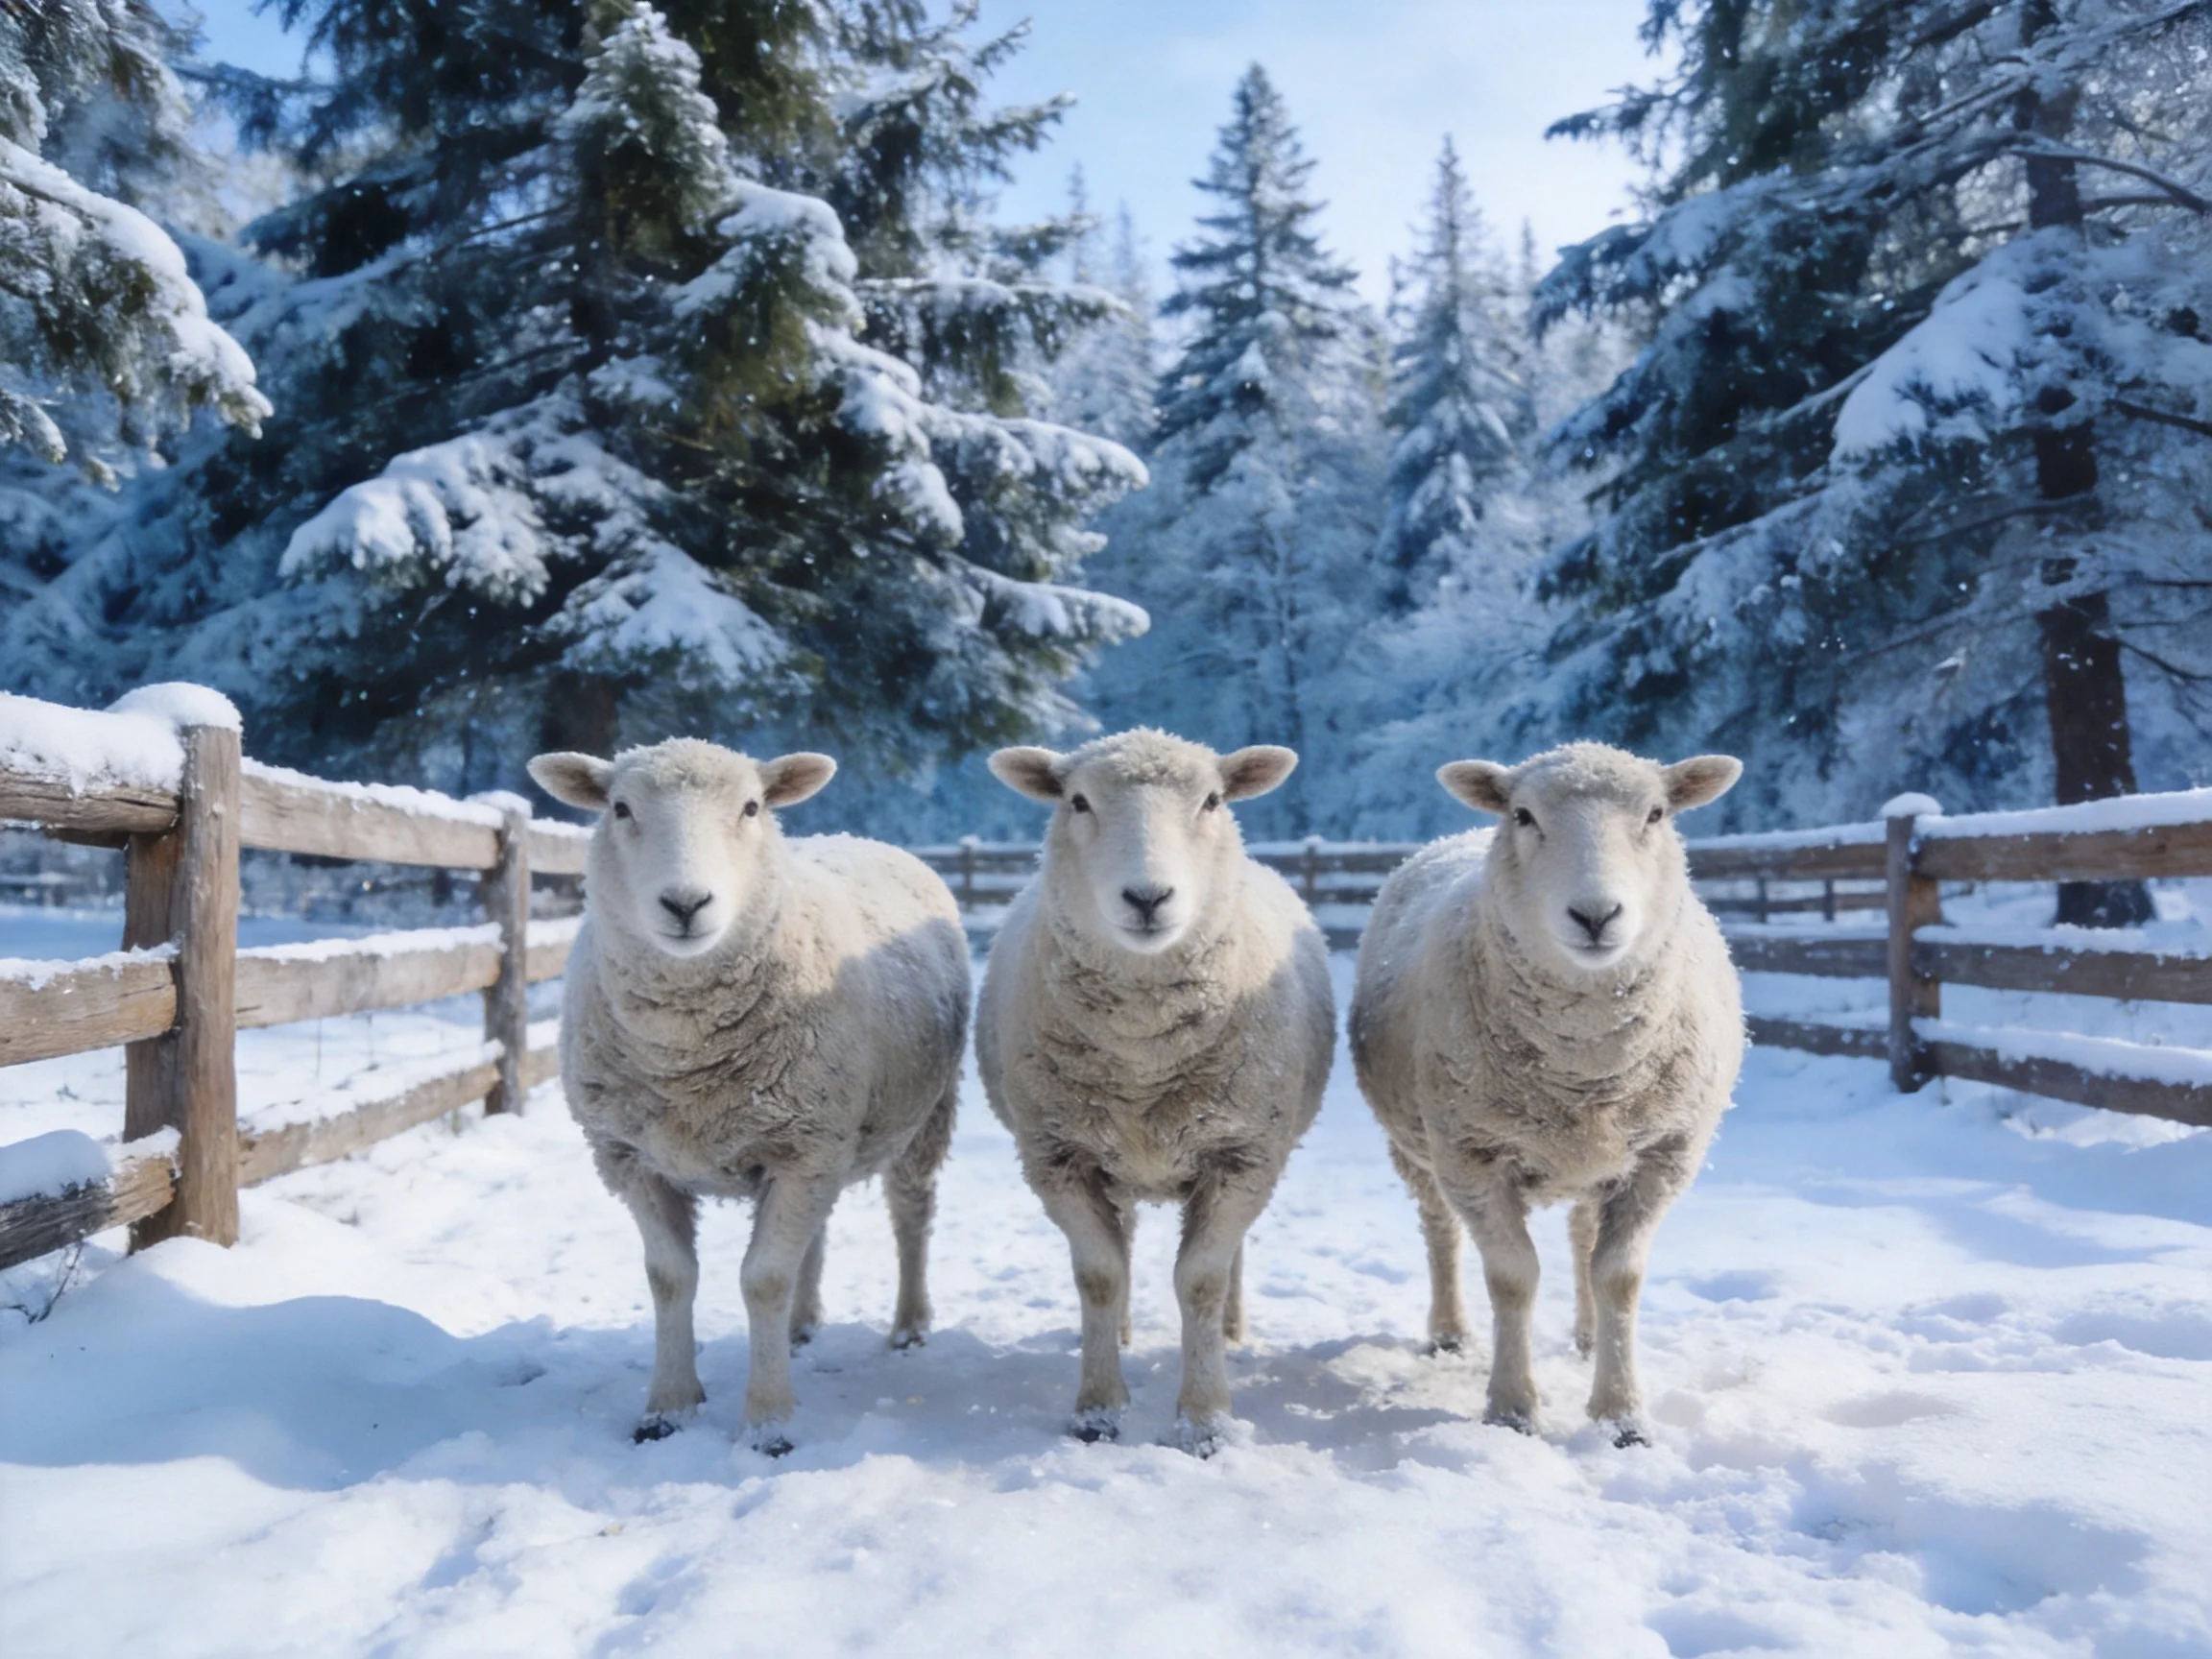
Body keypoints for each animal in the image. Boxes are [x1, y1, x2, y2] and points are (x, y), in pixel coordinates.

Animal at [527, 739, 970, 1452]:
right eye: (619, 808)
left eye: (752, 807)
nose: (685, 904)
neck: (685, 1053)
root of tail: (862, 837)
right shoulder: (632, 1158)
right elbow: (671, 1279)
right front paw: (668, 1408)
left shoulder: (802, 1150)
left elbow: (763, 1279)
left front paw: (768, 1422)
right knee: (816, 1234)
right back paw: (801, 1326)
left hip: (919, 1118)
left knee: (911, 1216)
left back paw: (908, 1325)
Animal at [976, 729, 1335, 1454]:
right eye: (1077, 801)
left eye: (1213, 800)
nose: (1147, 897)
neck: (1143, 1054)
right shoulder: (1058, 1157)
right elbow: (1099, 1275)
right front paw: (1098, 1409)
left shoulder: (1243, 1155)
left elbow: (1200, 1280)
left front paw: (1205, 1419)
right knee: (1124, 1244)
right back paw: (1118, 1335)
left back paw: (1230, 1331)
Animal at [1349, 741, 1744, 1445]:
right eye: (1524, 815)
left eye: (1657, 813)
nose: (1595, 915)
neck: (1583, 1057)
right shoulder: (1472, 1156)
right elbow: (1513, 1279)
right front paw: (1512, 1408)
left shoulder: (1663, 1157)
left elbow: (1618, 1278)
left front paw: (1621, 1414)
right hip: (1419, 1149)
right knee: (1439, 1231)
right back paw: (1449, 1334)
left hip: (1598, 1159)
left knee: (1584, 1240)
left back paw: (1587, 1339)